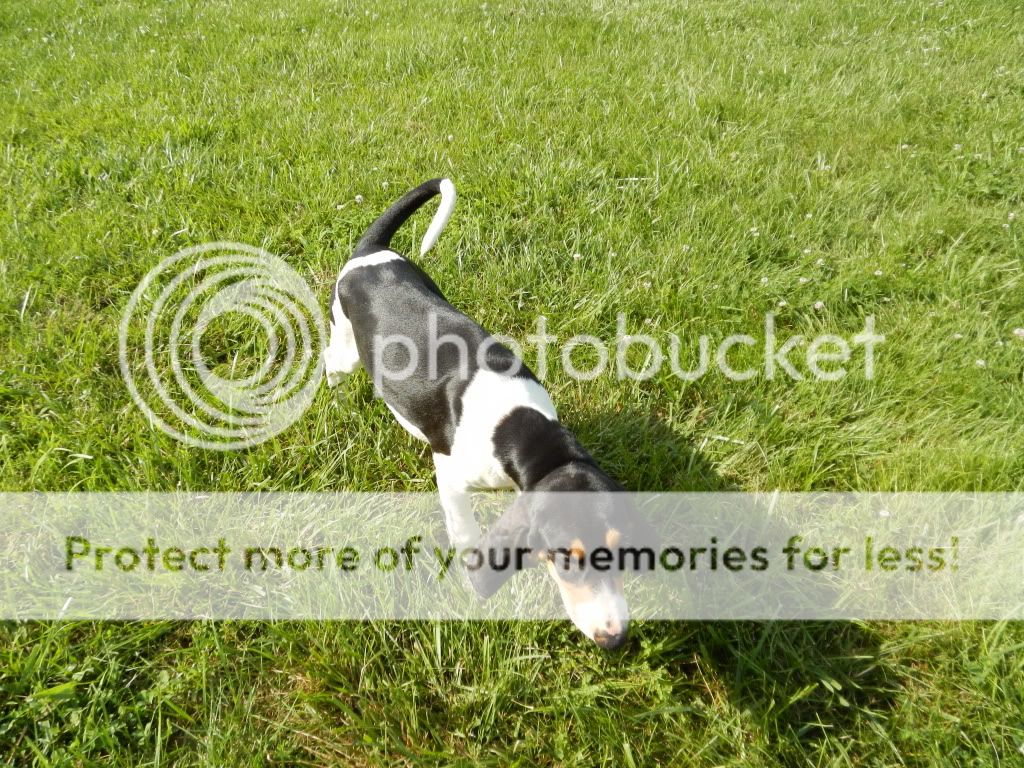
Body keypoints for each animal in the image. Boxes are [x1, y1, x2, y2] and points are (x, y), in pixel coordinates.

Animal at [325, 179, 652, 649]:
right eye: (565, 561)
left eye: (622, 552)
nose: (615, 638)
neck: (524, 430)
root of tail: (372, 251)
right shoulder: (450, 475)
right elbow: (465, 531)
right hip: (346, 346)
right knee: (331, 364)